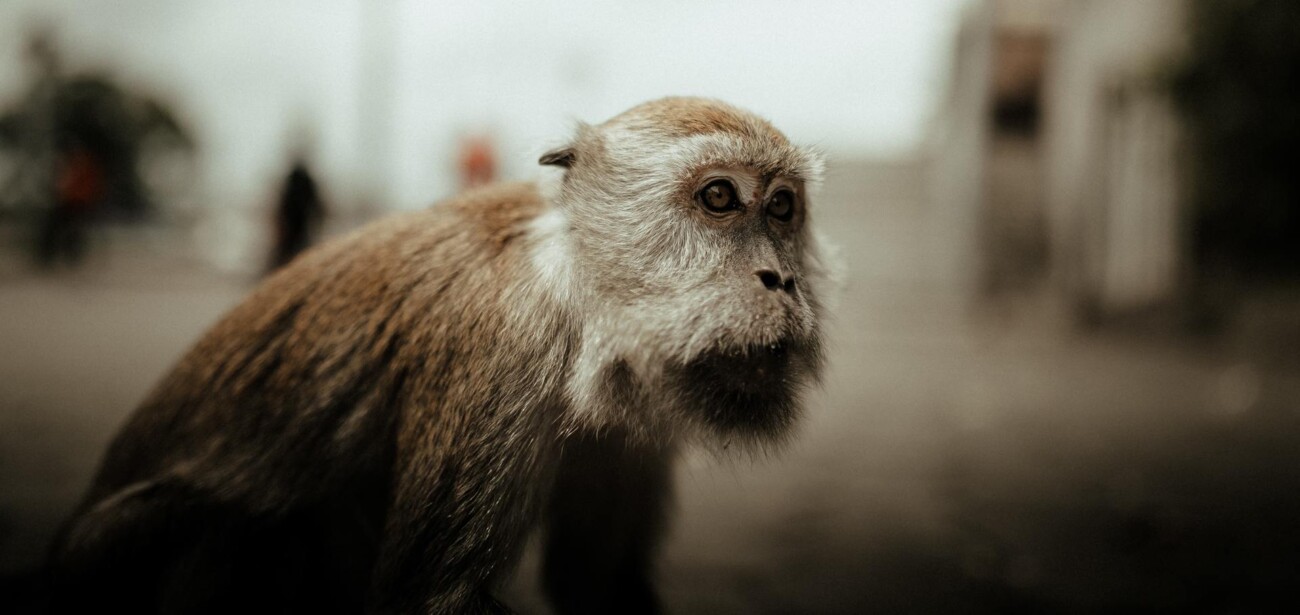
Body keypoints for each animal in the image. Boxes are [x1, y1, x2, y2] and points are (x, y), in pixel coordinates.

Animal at [46, 97, 829, 614]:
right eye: (720, 196)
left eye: (782, 208)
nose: (781, 279)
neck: (573, 287)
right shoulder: (503, 344)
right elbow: (436, 599)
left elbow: (595, 584)